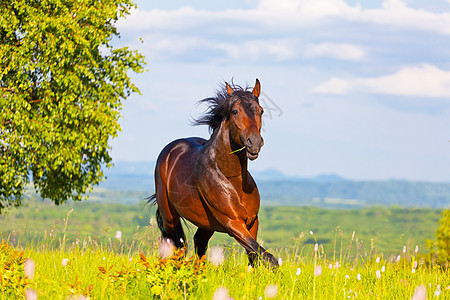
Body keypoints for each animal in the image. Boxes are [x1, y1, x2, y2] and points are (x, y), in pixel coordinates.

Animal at [148, 78, 280, 270]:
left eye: (260, 110)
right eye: (235, 111)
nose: (254, 143)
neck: (233, 179)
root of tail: (169, 150)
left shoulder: (252, 222)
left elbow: (255, 256)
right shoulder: (233, 223)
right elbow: (269, 258)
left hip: (206, 224)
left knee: (199, 243)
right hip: (170, 217)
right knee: (171, 243)